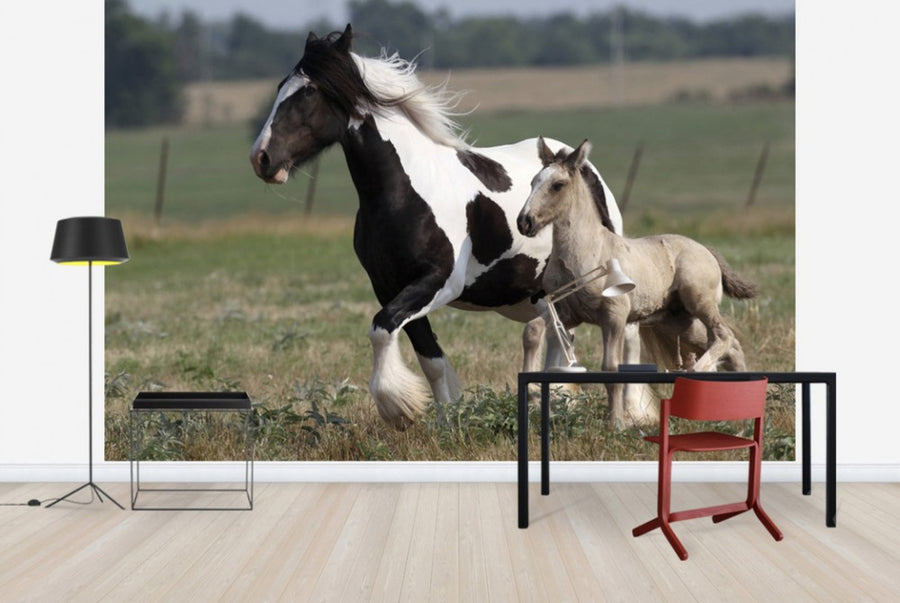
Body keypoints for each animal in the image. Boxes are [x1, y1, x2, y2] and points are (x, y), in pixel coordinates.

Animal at [250, 26, 636, 428]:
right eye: (280, 86)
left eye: (309, 91)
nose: (261, 158)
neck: (405, 191)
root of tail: (577, 162)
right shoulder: (387, 286)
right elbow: (429, 358)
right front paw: (445, 419)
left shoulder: (439, 282)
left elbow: (381, 329)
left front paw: (398, 406)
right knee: (561, 343)